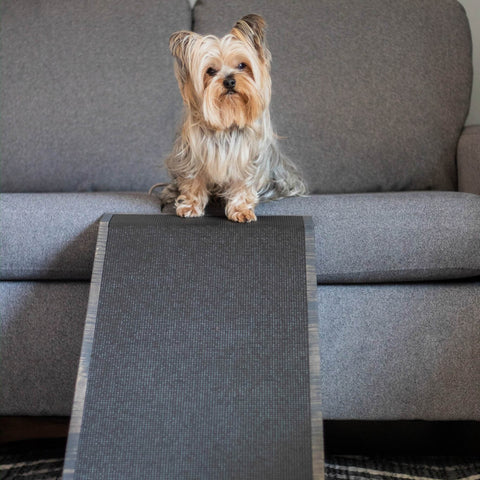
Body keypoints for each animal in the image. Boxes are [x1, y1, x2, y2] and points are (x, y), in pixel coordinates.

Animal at [159, 14, 306, 223]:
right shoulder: (192, 158)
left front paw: (241, 210)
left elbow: (242, 186)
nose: (229, 81)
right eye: (210, 71)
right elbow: (193, 183)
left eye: (242, 65)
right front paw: (190, 206)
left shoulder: (247, 161)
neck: (227, 121)